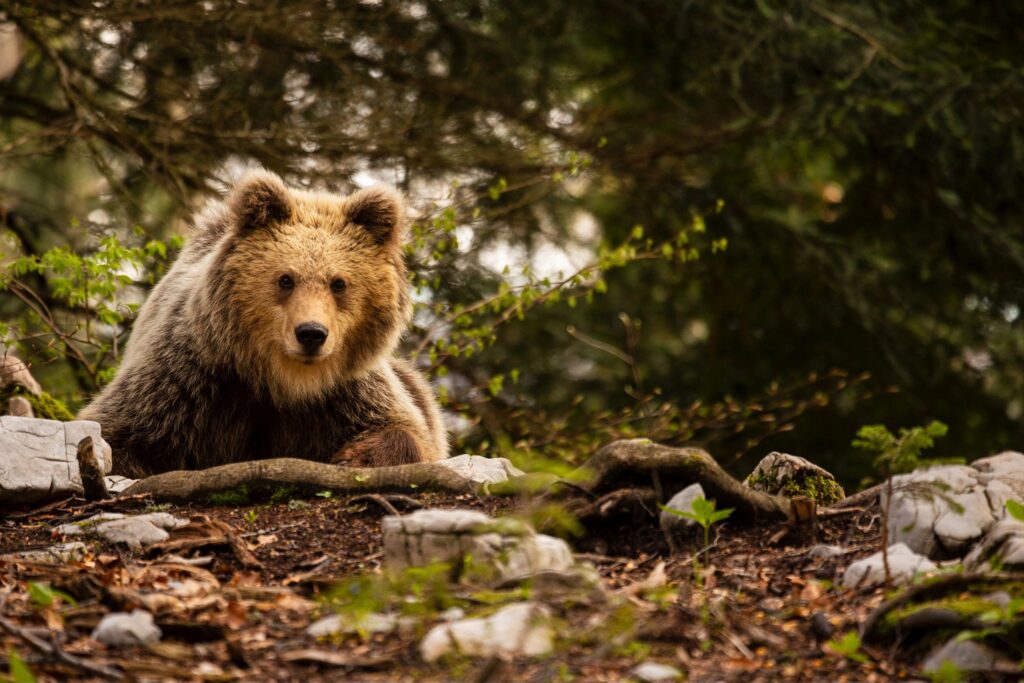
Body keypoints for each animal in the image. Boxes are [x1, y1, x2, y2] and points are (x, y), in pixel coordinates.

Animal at [77, 169, 446, 479]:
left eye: (339, 283)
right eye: (286, 279)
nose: (311, 333)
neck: (284, 381)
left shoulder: (347, 393)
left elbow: (405, 429)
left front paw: (354, 456)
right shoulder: (190, 379)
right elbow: (117, 433)